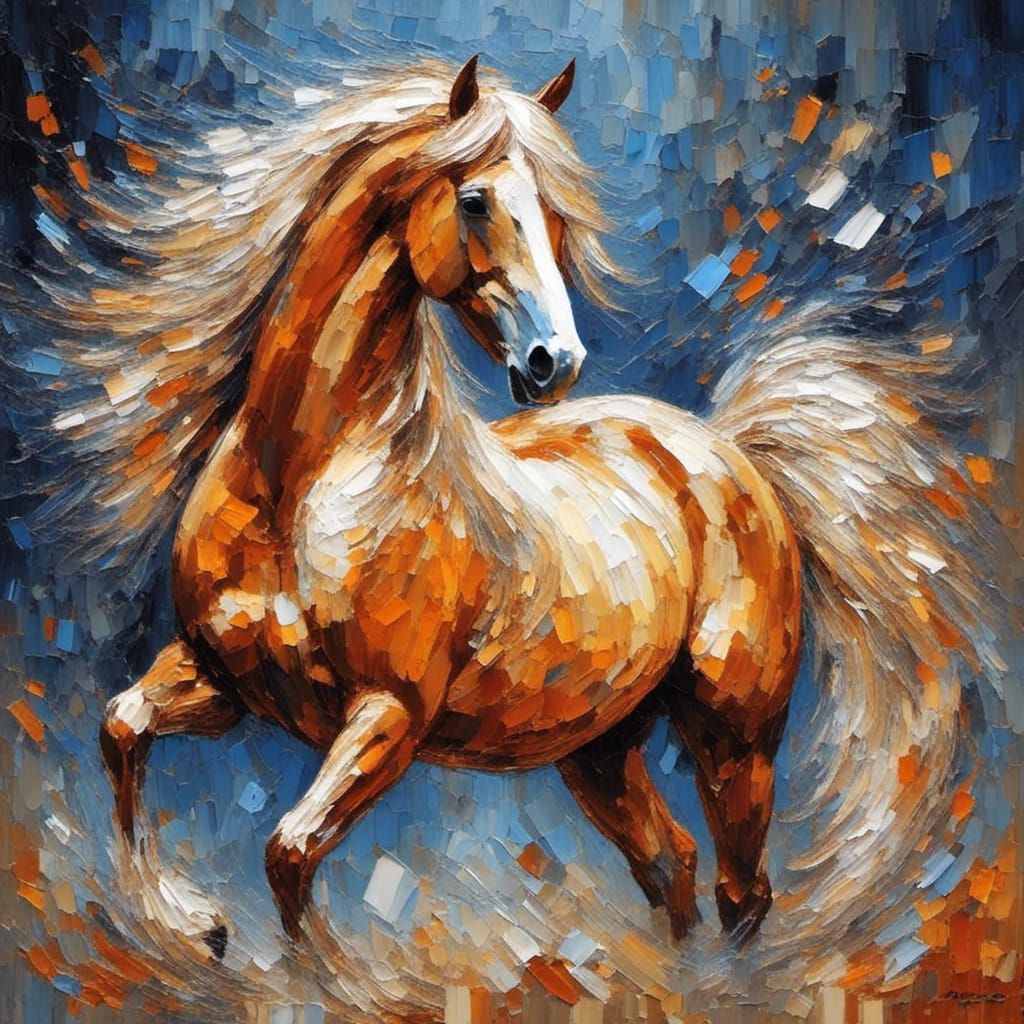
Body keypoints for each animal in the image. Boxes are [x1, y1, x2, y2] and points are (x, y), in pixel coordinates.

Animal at [97, 56, 978, 956]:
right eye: (475, 201)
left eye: (555, 216)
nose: (554, 360)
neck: (302, 482)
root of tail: (728, 452)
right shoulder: (225, 679)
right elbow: (122, 728)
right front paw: (190, 921)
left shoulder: (388, 717)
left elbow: (289, 852)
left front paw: (303, 966)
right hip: (599, 748)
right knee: (672, 863)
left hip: (736, 738)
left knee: (743, 891)